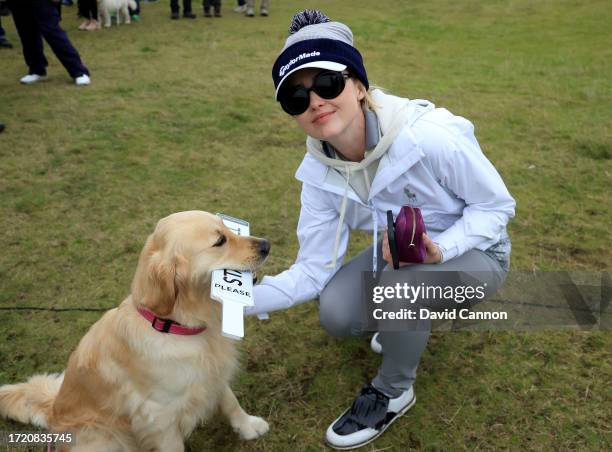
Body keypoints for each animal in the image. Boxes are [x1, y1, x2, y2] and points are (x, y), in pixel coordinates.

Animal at [0, 212, 270, 452]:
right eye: (220, 241)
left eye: (228, 228)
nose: (267, 245)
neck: (175, 325)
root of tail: (53, 411)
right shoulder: (158, 416)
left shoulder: (212, 373)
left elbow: (230, 401)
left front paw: (249, 426)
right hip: (106, 437)